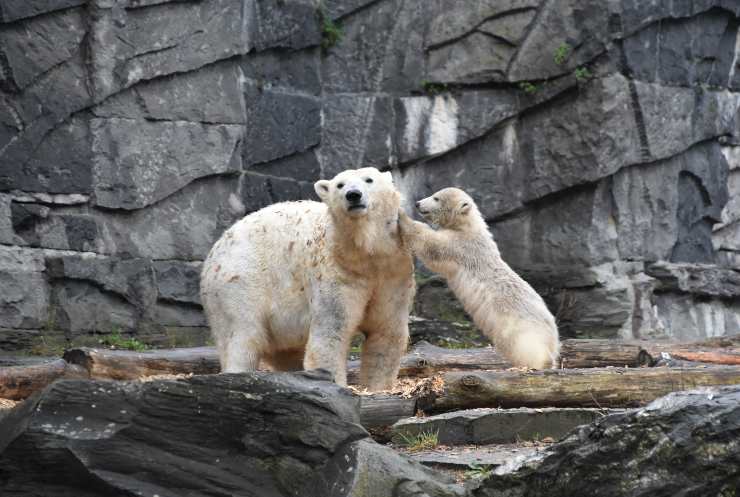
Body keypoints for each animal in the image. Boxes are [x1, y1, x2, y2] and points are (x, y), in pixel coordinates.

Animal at [200, 167, 415, 390]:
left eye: (369, 180)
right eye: (340, 185)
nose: (353, 195)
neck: (364, 255)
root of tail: (214, 251)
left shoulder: (392, 274)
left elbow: (385, 332)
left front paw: (376, 388)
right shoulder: (337, 274)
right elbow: (330, 334)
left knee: (285, 352)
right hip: (239, 281)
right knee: (243, 335)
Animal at [398, 187, 560, 369]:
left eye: (436, 198)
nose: (417, 203)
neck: (468, 226)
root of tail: (552, 335)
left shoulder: (462, 245)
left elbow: (432, 245)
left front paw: (401, 214)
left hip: (520, 328)